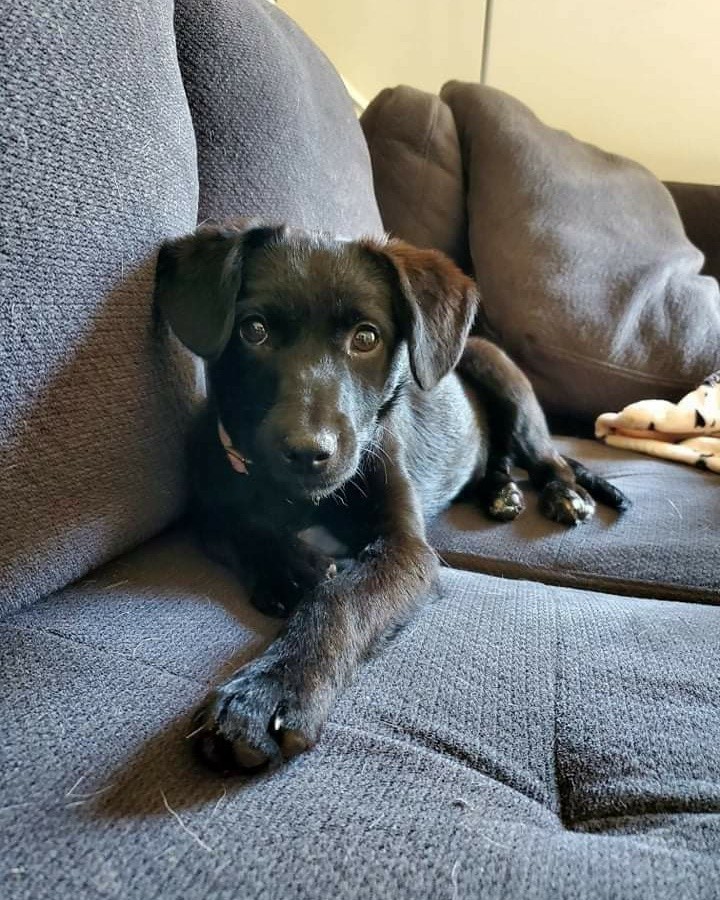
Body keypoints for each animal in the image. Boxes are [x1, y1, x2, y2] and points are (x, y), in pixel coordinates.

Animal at [155, 220, 628, 772]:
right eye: (254, 330)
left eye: (366, 337)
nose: (308, 451)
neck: (303, 501)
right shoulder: (209, 501)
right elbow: (239, 525)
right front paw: (293, 568)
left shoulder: (406, 548)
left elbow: (341, 599)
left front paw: (268, 690)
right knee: (497, 460)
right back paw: (501, 493)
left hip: (500, 373)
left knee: (546, 456)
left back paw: (562, 495)